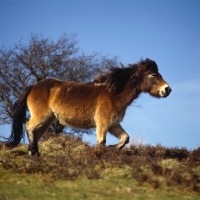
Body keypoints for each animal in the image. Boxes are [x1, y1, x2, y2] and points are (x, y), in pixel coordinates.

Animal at [6, 58, 172, 155]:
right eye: (153, 75)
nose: (167, 90)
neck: (113, 93)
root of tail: (33, 86)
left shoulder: (113, 124)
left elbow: (125, 138)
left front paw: (112, 149)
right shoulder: (103, 123)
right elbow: (101, 142)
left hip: (47, 120)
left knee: (36, 133)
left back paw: (36, 154)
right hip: (41, 116)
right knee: (28, 127)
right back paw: (32, 152)